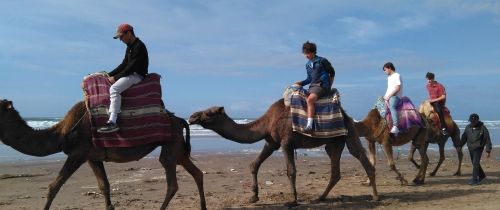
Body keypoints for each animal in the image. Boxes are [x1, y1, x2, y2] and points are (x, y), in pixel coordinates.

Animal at [0, 99, 205, 210]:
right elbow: (104, 186)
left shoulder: (78, 154)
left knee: (171, 182)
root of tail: (179, 119)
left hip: (170, 143)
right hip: (179, 147)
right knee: (196, 173)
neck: (62, 132)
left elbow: (53, 186)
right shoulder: (93, 157)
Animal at [188, 99, 378, 207]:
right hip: (334, 143)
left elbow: (291, 171)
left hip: (349, 133)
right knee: (335, 170)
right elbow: (254, 164)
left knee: (361, 157)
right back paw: (320, 197)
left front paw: (293, 201)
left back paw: (375, 196)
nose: (192, 116)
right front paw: (253, 197)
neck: (267, 122)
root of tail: (346, 115)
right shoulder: (271, 143)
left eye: (209, 113)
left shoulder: (287, 142)